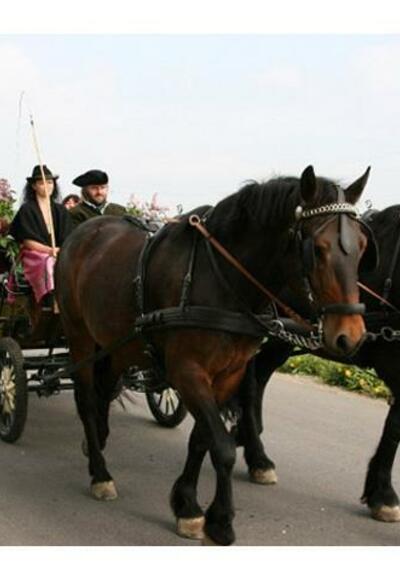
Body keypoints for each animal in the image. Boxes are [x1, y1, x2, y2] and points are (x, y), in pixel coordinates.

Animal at [55, 165, 370, 545]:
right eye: (318, 250)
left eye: (362, 246)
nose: (350, 335)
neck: (221, 279)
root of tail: (84, 231)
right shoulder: (187, 371)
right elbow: (222, 446)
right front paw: (219, 520)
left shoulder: (227, 374)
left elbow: (202, 439)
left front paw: (187, 503)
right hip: (79, 335)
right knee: (87, 400)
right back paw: (100, 473)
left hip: (117, 343)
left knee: (104, 390)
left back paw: (97, 444)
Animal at [235, 204, 400, 525]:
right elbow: (394, 430)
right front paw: (384, 496)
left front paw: (378, 491)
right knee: (249, 382)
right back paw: (258, 456)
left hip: (282, 338)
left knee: (261, 372)